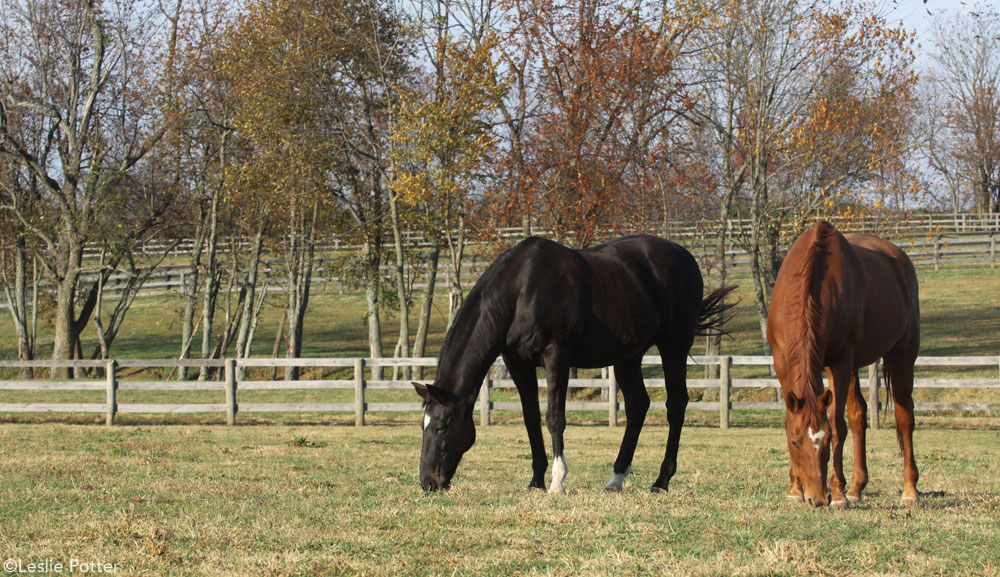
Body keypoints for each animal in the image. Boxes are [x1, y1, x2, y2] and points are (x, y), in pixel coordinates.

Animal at [410, 236, 732, 492]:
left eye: (440, 427)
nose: (429, 483)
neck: (521, 292)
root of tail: (685, 256)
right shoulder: (518, 363)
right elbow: (530, 419)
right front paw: (536, 481)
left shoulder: (557, 356)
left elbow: (555, 417)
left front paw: (557, 481)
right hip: (628, 357)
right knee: (637, 406)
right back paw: (616, 479)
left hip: (674, 347)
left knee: (675, 406)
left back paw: (661, 481)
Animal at [764, 220, 920, 508]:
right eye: (795, 442)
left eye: (825, 442)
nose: (817, 498)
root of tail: (900, 259)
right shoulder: (781, 360)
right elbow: (793, 418)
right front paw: (794, 489)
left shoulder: (840, 361)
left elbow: (838, 426)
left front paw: (837, 495)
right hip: (856, 367)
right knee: (859, 416)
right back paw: (856, 488)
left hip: (901, 358)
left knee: (905, 420)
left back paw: (909, 491)